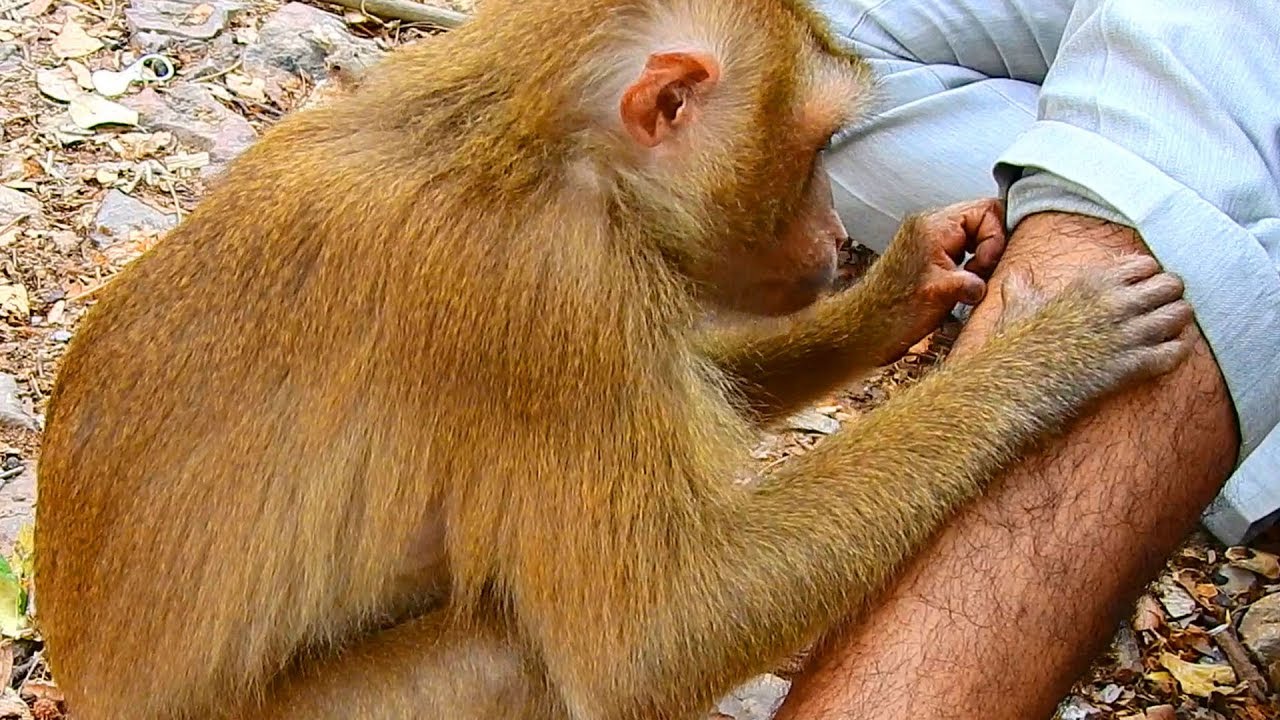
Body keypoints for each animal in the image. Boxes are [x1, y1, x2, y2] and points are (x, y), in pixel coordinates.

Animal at [32, 0, 1195, 718]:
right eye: (816, 148)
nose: (835, 233)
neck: (531, 148)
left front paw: (915, 277)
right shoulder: (554, 299)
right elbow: (655, 638)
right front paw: (1044, 360)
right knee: (513, 651)